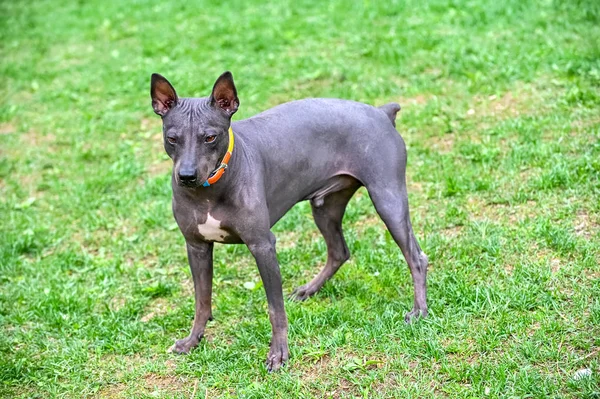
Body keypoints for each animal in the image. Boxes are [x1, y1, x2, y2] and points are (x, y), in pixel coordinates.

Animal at [152, 71, 428, 372]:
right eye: (172, 138)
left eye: (210, 137)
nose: (186, 176)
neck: (209, 191)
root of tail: (381, 112)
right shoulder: (196, 246)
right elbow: (201, 302)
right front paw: (192, 341)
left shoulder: (263, 246)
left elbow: (276, 309)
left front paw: (278, 353)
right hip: (325, 206)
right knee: (339, 251)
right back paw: (309, 289)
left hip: (388, 201)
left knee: (416, 257)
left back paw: (419, 311)